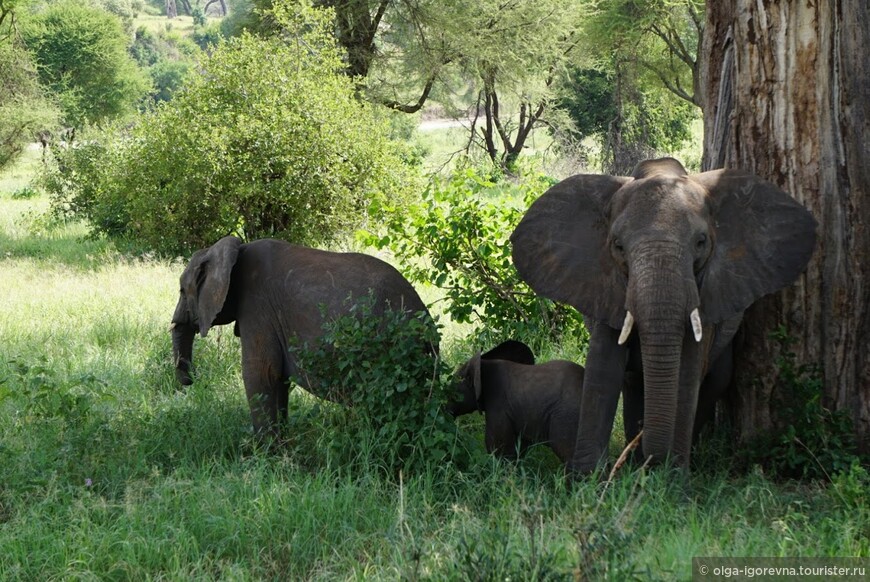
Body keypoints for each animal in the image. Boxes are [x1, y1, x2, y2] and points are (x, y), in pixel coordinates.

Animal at [170, 237, 436, 438]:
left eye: (182, 291)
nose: (190, 380)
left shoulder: (258, 307)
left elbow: (261, 372)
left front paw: (265, 455)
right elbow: (278, 378)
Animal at [510, 159, 816, 474]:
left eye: (701, 242)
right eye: (618, 246)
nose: (652, 457)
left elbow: (687, 375)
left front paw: (673, 479)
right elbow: (603, 372)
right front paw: (589, 480)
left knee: (713, 383)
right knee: (634, 383)